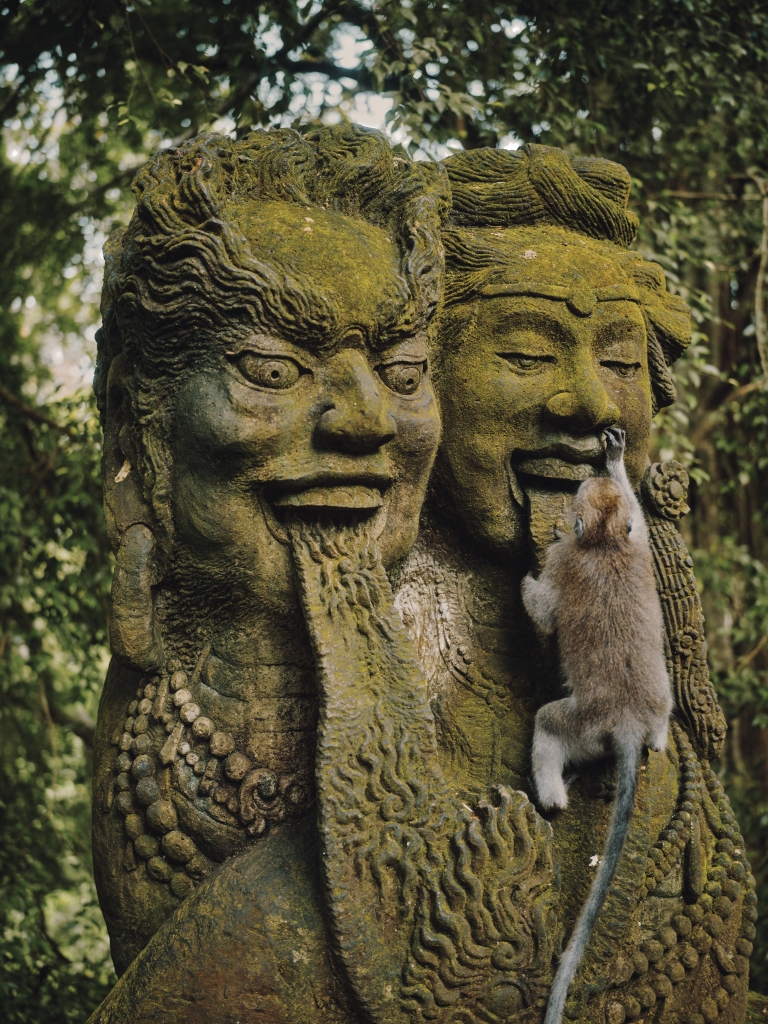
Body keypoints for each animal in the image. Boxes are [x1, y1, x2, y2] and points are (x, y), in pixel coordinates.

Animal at [521, 425, 673, 1024]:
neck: (607, 543)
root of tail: (630, 720)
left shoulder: (567, 561)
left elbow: (542, 610)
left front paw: (523, 570)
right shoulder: (636, 543)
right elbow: (638, 517)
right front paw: (616, 462)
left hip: (584, 723)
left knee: (548, 723)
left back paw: (552, 794)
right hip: (657, 705)